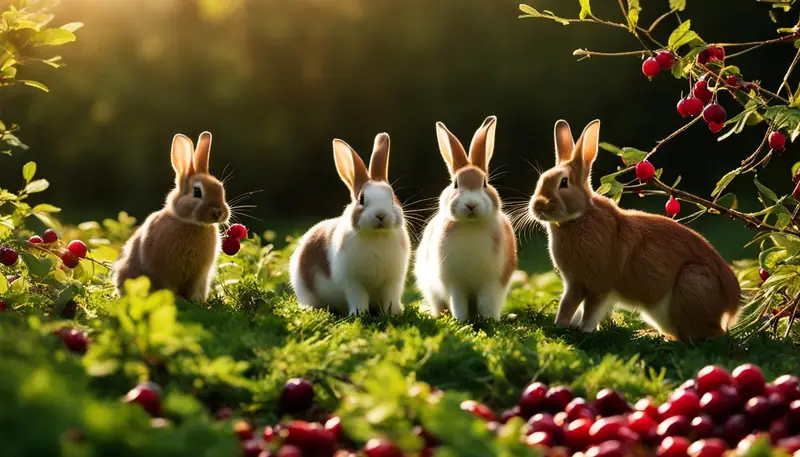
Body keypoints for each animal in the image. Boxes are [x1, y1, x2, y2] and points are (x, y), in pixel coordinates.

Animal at [113, 131, 230, 303]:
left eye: (221, 189)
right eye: (197, 191)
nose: (218, 212)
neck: (192, 224)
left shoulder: (199, 275)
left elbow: (194, 289)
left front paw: (197, 302)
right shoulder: (164, 272)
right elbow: (168, 287)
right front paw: (175, 301)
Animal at [289, 132, 411, 316]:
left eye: (392, 198)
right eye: (361, 199)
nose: (380, 215)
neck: (376, 236)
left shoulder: (392, 281)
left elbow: (390, 297)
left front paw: (394, 313)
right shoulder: (353, 282)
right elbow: (358, 297)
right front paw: (359, 314)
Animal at [414, 116, 518, 321]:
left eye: (485, 183)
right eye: (455, 184)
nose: (471, 205)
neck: (471, 226)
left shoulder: (492, 284)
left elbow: (487, 304)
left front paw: (489, 321)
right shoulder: (455, 285)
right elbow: (458, 304)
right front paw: (461, 321)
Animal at [528, 119, 741, 341]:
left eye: (564, 182)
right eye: (541, 179)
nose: (538, 206)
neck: (579, 217)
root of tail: (731, 306)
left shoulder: (598, 284)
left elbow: (589, 309)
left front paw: (582, 329)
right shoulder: (575, 283)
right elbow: (570, 305)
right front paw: (564, 326)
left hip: (691, 284)